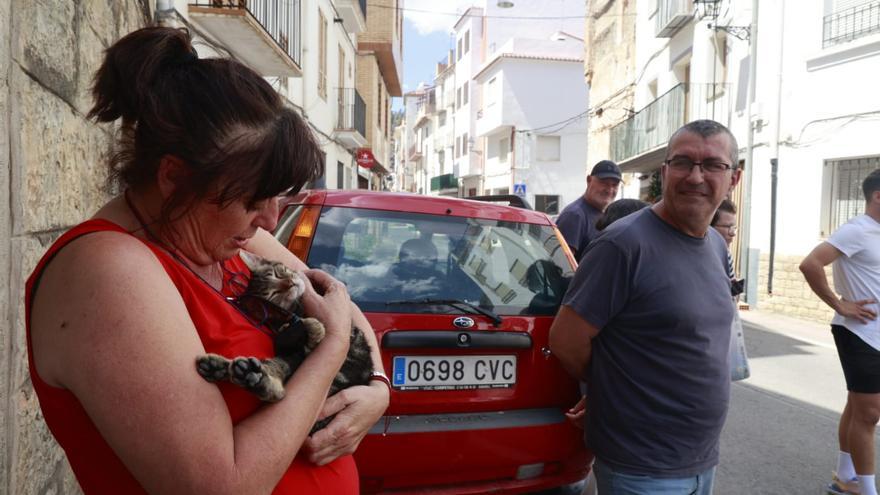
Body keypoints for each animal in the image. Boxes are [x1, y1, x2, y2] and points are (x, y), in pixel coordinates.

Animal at [194, 254, 372, 432]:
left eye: (277, 274)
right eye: (274, 293)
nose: (290, 283)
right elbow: (302, 330)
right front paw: (309, 327)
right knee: (277, 384)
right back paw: (235, 372)